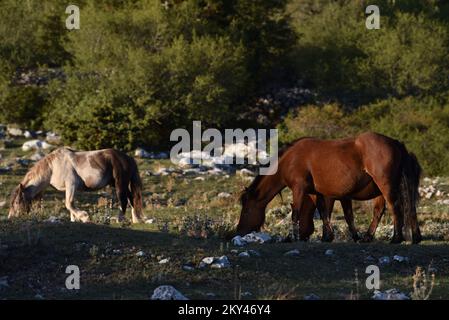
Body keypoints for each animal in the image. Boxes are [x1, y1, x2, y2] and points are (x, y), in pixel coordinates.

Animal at [8, 147, 144, 222]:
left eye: (17, 202)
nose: (11, 218)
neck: (53, 167)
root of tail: (128, 158)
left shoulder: (71, 185)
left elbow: (69, 204)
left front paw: (84, 217)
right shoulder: (69, 189)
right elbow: (70, 206)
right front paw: (75, 219)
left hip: (120, 184)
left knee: (124, 200)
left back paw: (120, 219)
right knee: (131, 198)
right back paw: (136, 219)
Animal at [236, 131, 422, 244]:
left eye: (246, 210)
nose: (238, 232)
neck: (290, 159)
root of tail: (395, 143)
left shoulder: (299, 188)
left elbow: (296, 211)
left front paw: (291, 237)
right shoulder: (318, 192)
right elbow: (325, 211)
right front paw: (328, 236)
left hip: (385, 185)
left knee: (395, 207)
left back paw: (396, 237)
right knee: (395, 209)